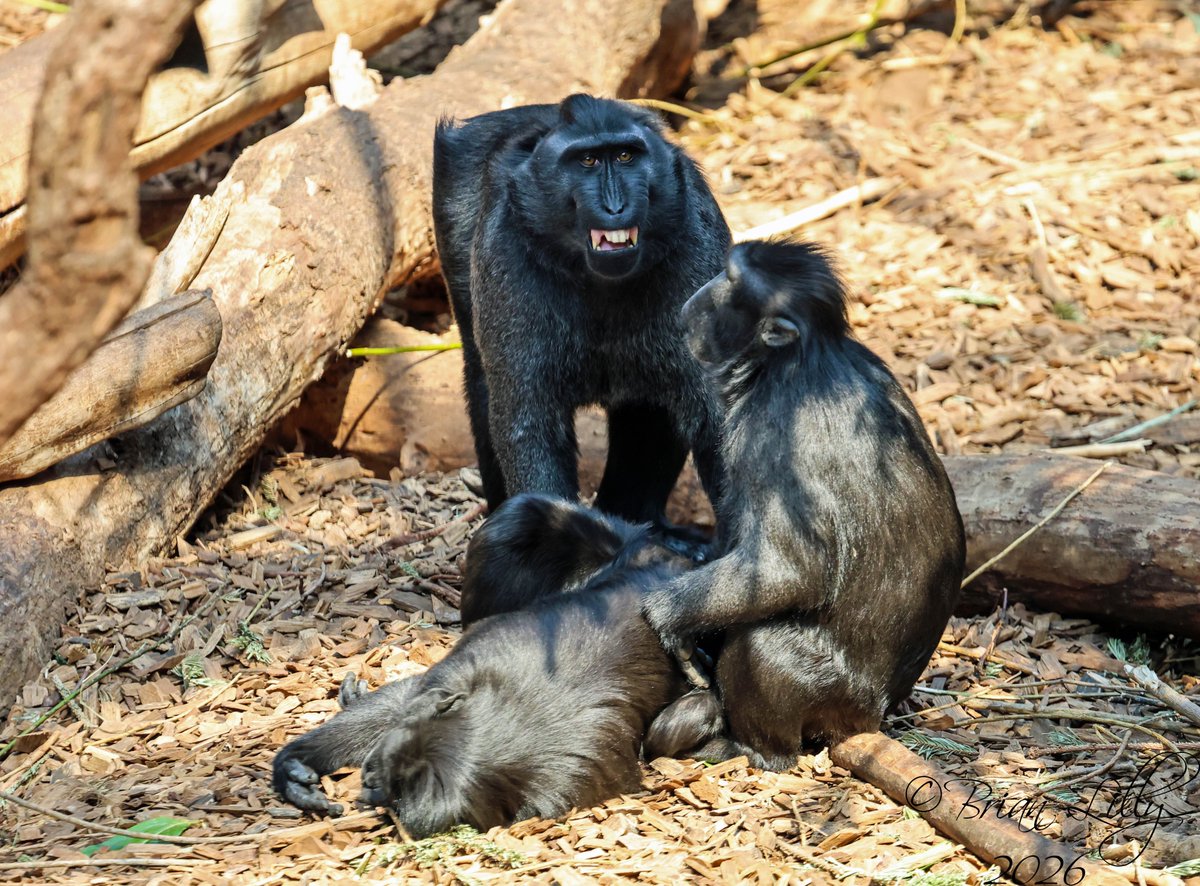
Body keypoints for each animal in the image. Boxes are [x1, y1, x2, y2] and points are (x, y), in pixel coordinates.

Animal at [433, 93, 731, 528]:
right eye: (587, 161)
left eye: (625, 156)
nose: (615, 206)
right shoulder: (507, 251)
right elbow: (529, 423)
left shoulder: (697, 237)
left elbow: (717, 416)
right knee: (480, 376)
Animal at [639, 239, 966, 769]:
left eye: (729, 281)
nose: (694, 299)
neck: (798, 356)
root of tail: (870, 716)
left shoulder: (770, 428)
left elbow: (790, 568)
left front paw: (667, 616)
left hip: (829, 695)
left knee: (761, 644)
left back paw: (750, 748)